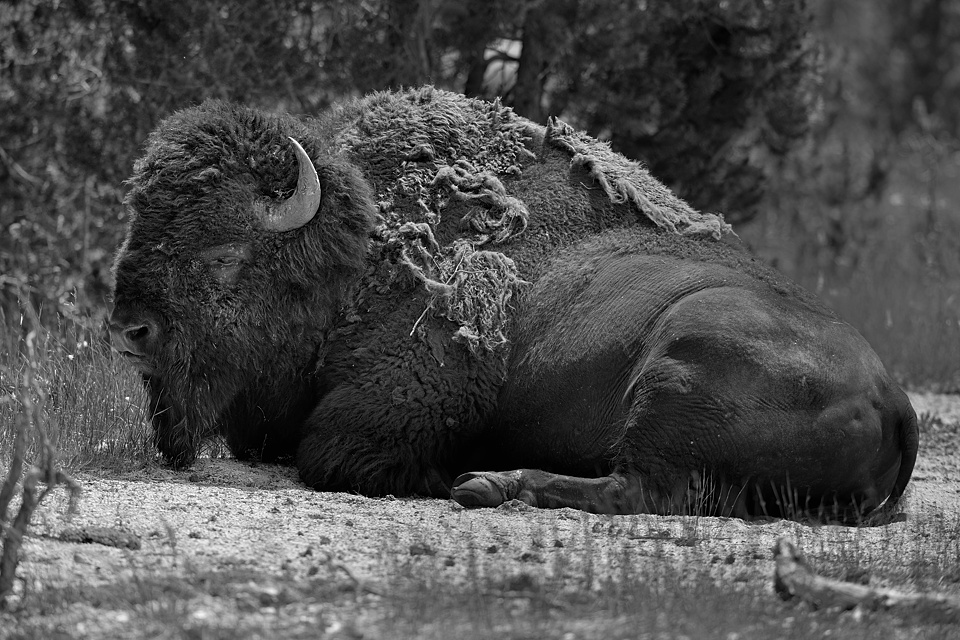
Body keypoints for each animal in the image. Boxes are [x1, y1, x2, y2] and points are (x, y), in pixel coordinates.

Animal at [109, 87, 918, 520]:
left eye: (223, 254)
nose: (128, 330)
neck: (357, 255)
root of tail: (896, 402)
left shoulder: (394, 405)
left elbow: (331, 453)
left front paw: (447, 475)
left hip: (681, 363)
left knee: (640, 488)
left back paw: (488, 482)